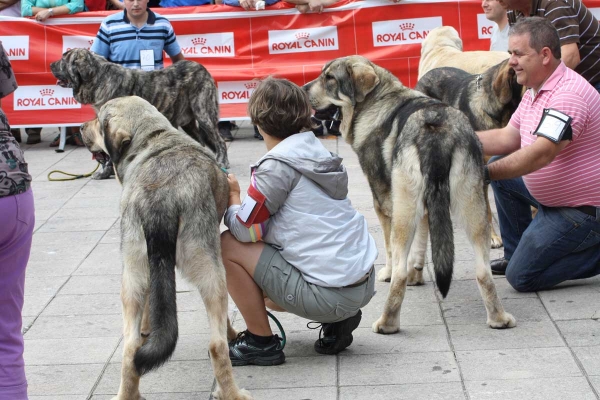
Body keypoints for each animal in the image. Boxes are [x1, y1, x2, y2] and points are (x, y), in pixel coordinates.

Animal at [48, 47, 227, 178]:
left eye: (64, 59)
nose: (50, 65)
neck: (99, 78)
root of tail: (202, 68)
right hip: (189, 123)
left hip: (203, 113)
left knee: (220, 141)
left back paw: (222, 162)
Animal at [81, 97, 250, 400]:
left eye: (98, 121)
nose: (79, 128)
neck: (153, 137)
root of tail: (159, 198)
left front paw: (149, 328)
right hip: (212, 271)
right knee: (216, 345)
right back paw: (232, 393)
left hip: (132, 271)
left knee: (130, 348)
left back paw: (128, 394)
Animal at [304, 54, 516, 332]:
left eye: (329, 78)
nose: (303, 89)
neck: (377, 99)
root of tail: (436, 130)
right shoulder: (423, 208)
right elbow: (421, 244)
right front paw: (418, 274)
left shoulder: (385, 204)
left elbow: (391, 253)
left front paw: (389, 273)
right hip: (473, 207)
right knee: (483, 271)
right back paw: (499, 318)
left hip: (404, 214)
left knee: (399, 271)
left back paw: (387, 323)